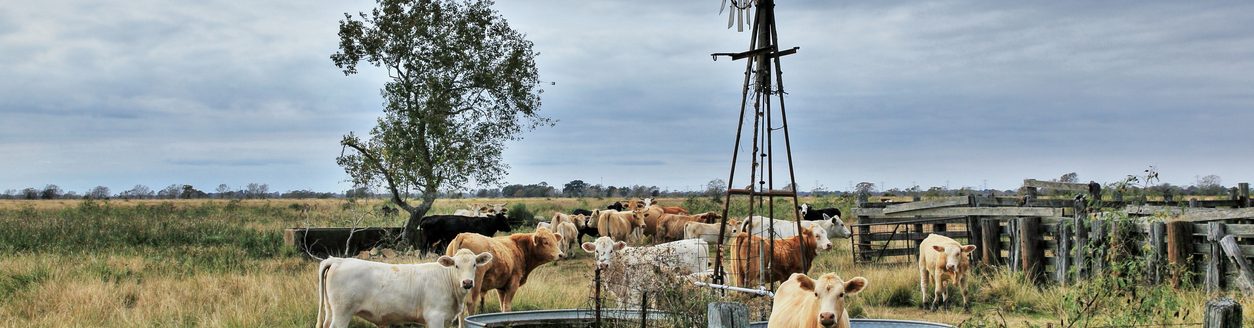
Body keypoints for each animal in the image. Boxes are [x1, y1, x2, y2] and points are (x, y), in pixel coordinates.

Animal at [318, 249, 494, 328]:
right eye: (456, 266)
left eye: (474, 264)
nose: (467, 282)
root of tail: (339, 260)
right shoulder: (435, 317)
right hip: (342, 313)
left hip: (330, 310)